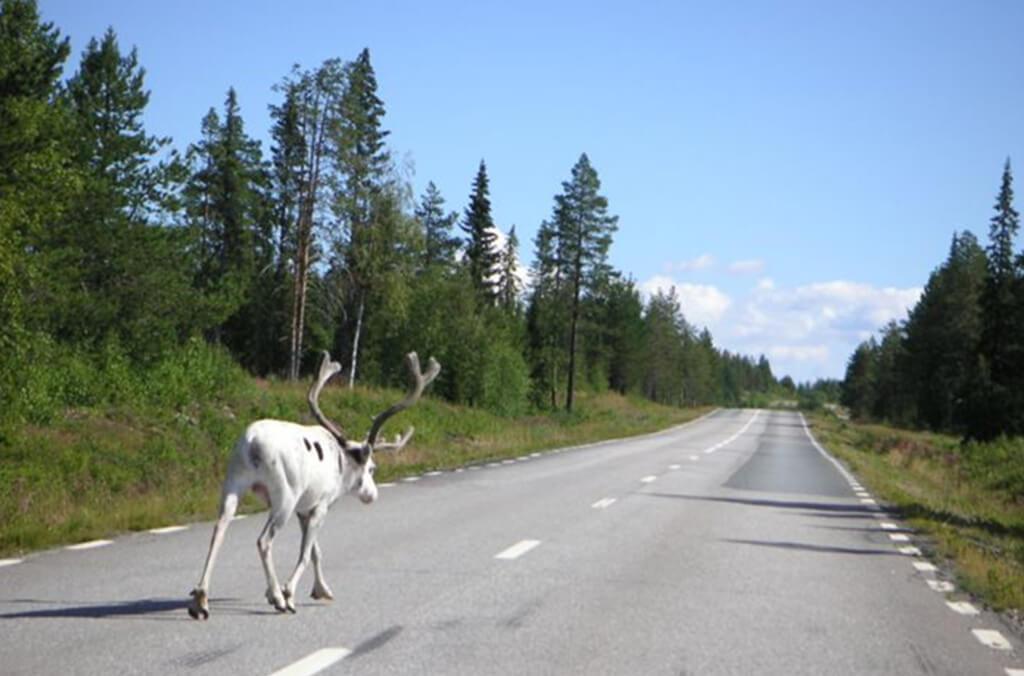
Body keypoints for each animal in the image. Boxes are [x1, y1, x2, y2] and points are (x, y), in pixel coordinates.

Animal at [187, 350, 440, 620]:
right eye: (372, 468)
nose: (372, 495)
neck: (342, 465)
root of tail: (253, 444)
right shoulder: (321, 505)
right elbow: (307, 553)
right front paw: (287, 594)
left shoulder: (304, 508)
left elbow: (315, 550)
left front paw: (321, 589)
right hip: (284, 497)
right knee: (263, 541)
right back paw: (278, 598)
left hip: (233, 482)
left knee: (219, 529)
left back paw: (201, 598)